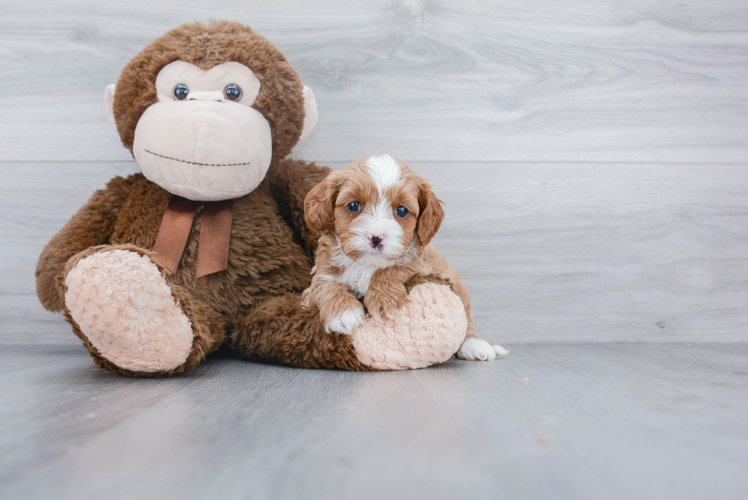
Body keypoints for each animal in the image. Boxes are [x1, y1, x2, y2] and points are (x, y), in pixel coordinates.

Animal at [302, 154, 508, 362]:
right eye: (353, 205)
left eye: (401, 210)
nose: (376, 238)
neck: (367, 266)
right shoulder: (317, 280)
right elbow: (327, 286)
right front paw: (344, 313)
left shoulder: (423, 263)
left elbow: (397, 266)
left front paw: (383, 299)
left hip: (457, 286)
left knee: (467, 320)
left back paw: (475, 345)